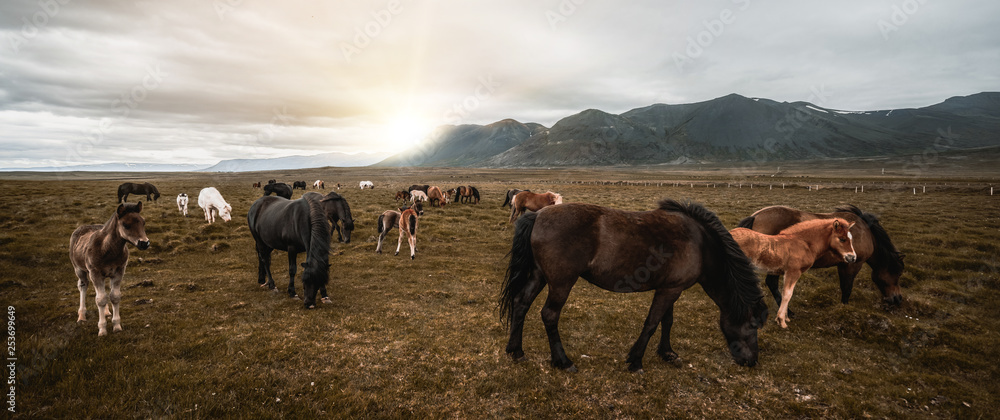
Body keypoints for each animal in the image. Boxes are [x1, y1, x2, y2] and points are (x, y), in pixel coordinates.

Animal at [70, 202, 149, 336]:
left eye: (143, 222)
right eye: (125, 225)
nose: (144, 243)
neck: (107, 250)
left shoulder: (119, 271)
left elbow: (114, 296)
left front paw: (117, 326)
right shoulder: (95, 273)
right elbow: (100, 299)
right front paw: (102, 330)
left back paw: (106, 312)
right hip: (79, 270)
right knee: (83, 286)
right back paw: (81, 316)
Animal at [736, 204, 908, 308]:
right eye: (898, 273)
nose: (898, 299)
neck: (865, 232)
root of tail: (755, 216)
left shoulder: (843, 264)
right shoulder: (852, 265)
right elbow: (847, 288)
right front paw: (844, 308)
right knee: (771, 283)